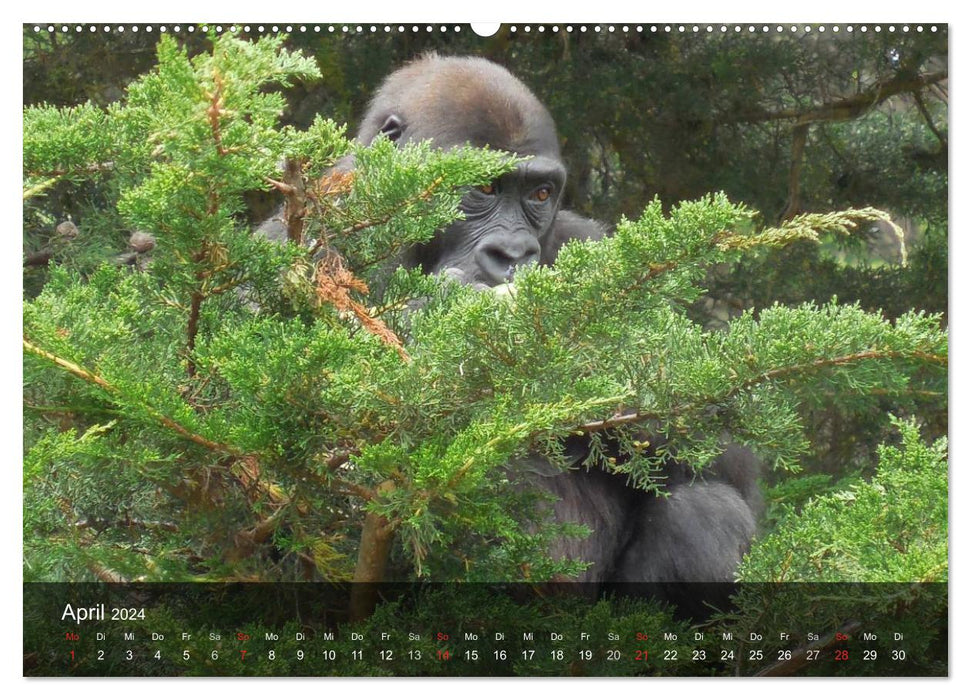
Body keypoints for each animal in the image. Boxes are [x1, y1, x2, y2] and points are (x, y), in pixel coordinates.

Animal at [270, 54, 764, 592]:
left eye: (541, 193)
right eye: (485, 187)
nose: (514, 254)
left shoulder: (589, 242)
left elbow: (725, 444)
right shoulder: (287, 246)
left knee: (706, 506)